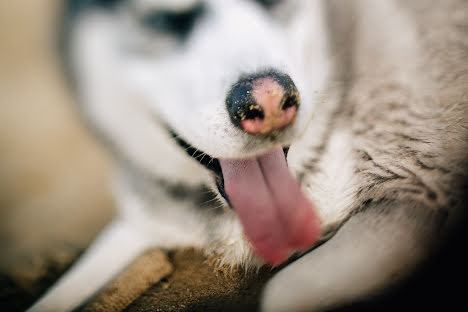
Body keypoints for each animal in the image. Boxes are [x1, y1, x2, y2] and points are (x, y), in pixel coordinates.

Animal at [28, 0, 468, 310]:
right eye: (168, 18)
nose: (270, 102)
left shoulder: (417, 196)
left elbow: (284, 291)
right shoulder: (148, 218)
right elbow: (57, 294)